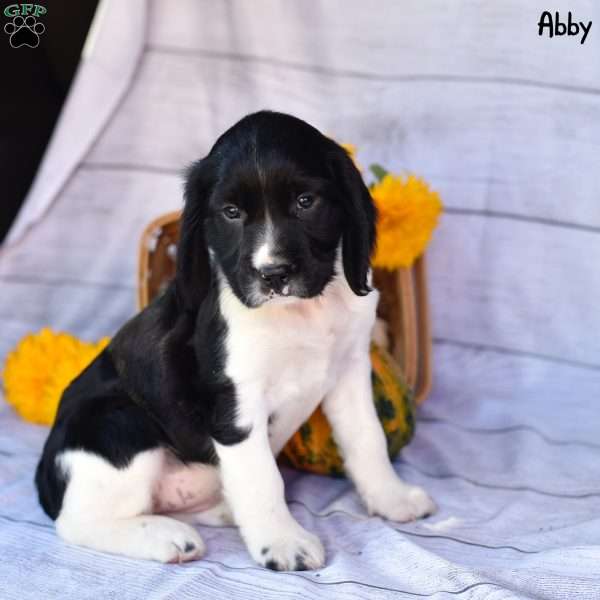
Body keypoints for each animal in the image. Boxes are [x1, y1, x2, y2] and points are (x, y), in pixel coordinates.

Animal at [34, 111, 436, 568]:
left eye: (305, 202)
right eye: (231, 212)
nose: (273, 274)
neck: (302, 315)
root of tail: (45, 476)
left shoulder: (351, 371)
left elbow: (367, 438)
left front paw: (391, 498)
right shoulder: (236, 406)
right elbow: (263, 478)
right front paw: (283, 543)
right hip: (117, 421)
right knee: (75, 522)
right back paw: (167, 538)